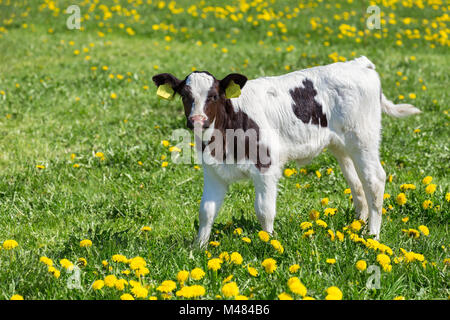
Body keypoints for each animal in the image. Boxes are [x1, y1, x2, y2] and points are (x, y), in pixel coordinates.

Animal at [153, 56, 420, 246]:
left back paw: (372, 236)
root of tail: (359, 63)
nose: (197, 120)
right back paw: (356, 227)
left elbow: (264, 210)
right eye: (185, 95)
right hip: (342, 146)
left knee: (374, 180)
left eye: (214, 95)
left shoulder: (266, 167)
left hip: (364, 139)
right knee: (357, 183)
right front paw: (198, 248)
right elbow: (206, 211)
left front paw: (268, 242)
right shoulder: (213, 170)